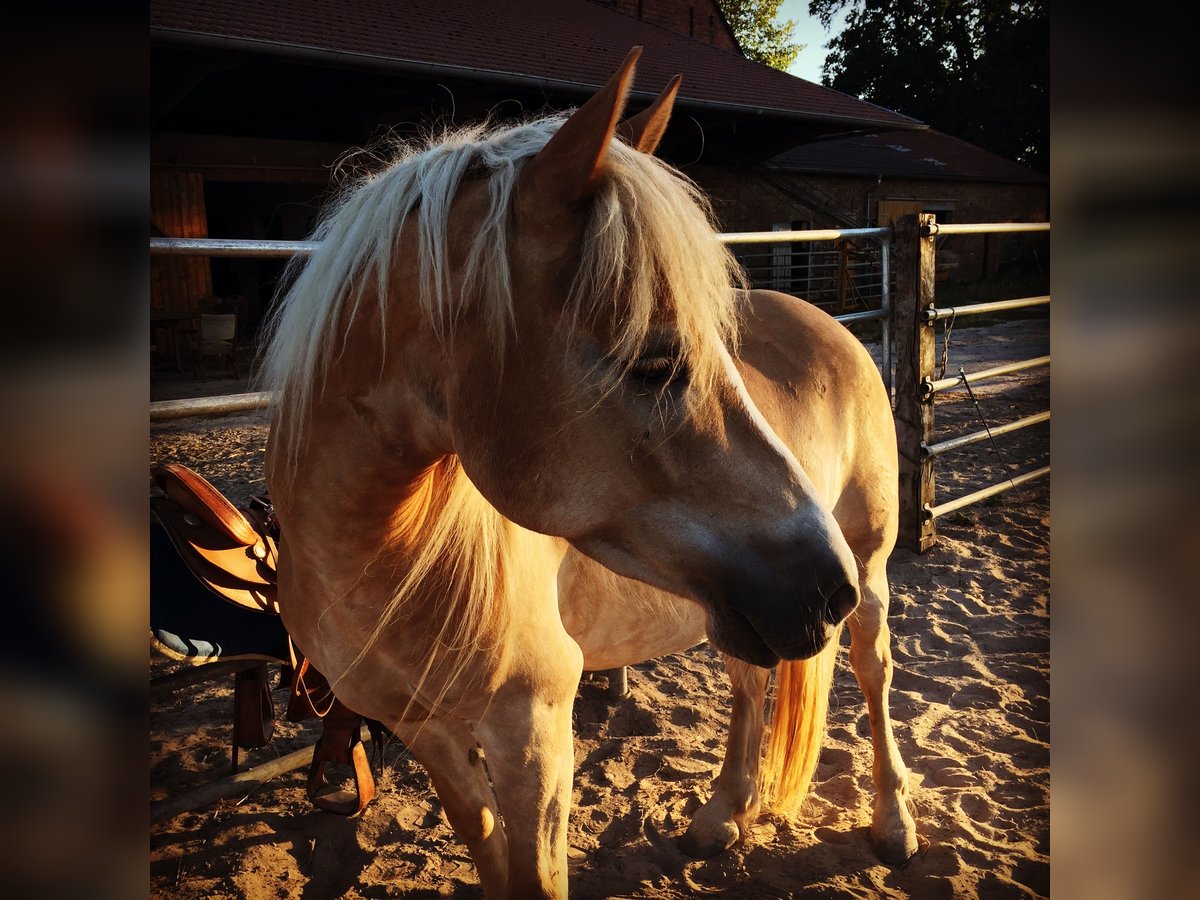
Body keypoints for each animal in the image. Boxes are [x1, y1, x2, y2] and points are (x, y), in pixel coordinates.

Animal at [265, 51, 916, 900]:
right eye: (654, 361)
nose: (822, 587)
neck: (378, 559)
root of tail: (834, 328)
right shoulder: (429, 735)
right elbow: (488, 855)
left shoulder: (534, 734)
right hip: (740, 611)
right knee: (749, 683)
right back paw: (723, 814)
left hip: (865, 571)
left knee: (874, 675)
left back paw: (892, 823)